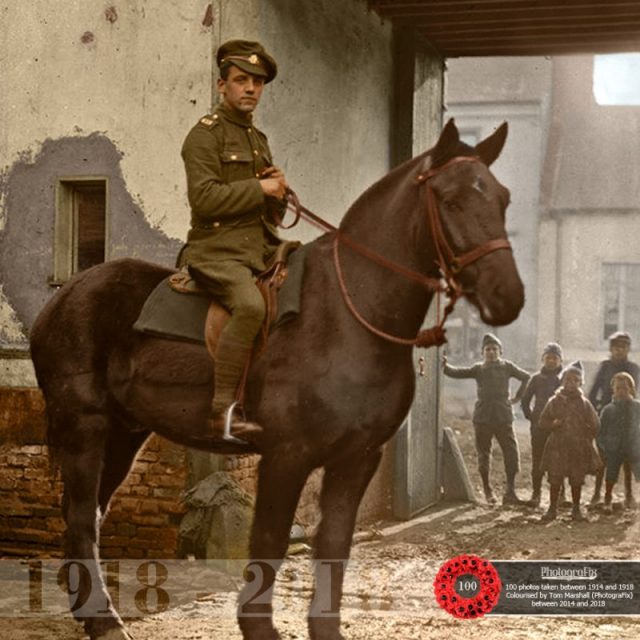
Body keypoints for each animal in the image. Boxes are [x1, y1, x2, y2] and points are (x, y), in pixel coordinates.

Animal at [27, 121, 524, 640]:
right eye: (451, 200)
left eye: (502, 199)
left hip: (125, 433)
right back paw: (104, 619)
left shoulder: (357, 458)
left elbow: (334, 546)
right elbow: (268, 541)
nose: (506, 295)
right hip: (85, 428)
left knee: (89, 513)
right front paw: (258, 627)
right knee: (82, 516)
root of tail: (62, 298)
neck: (351, 314)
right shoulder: (287, 455)